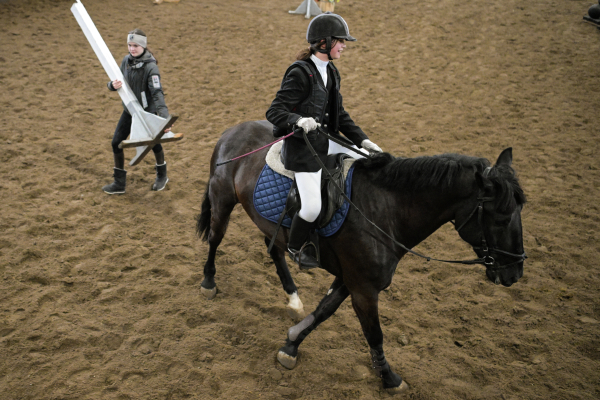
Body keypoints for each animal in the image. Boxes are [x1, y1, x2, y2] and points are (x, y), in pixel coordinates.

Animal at [197, 119, 524, 394]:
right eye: (501, 218)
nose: (514, 273)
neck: (386, 211)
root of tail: (234, 130)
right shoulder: (365, 288)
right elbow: (374, 333)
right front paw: (390, 378)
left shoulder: (351, 279)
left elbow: (324, 310)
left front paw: (291, 345)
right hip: (222, 200)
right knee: (215, 238)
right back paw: (208, 283)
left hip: (267, 222)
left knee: (274, 249)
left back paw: (293, 298)